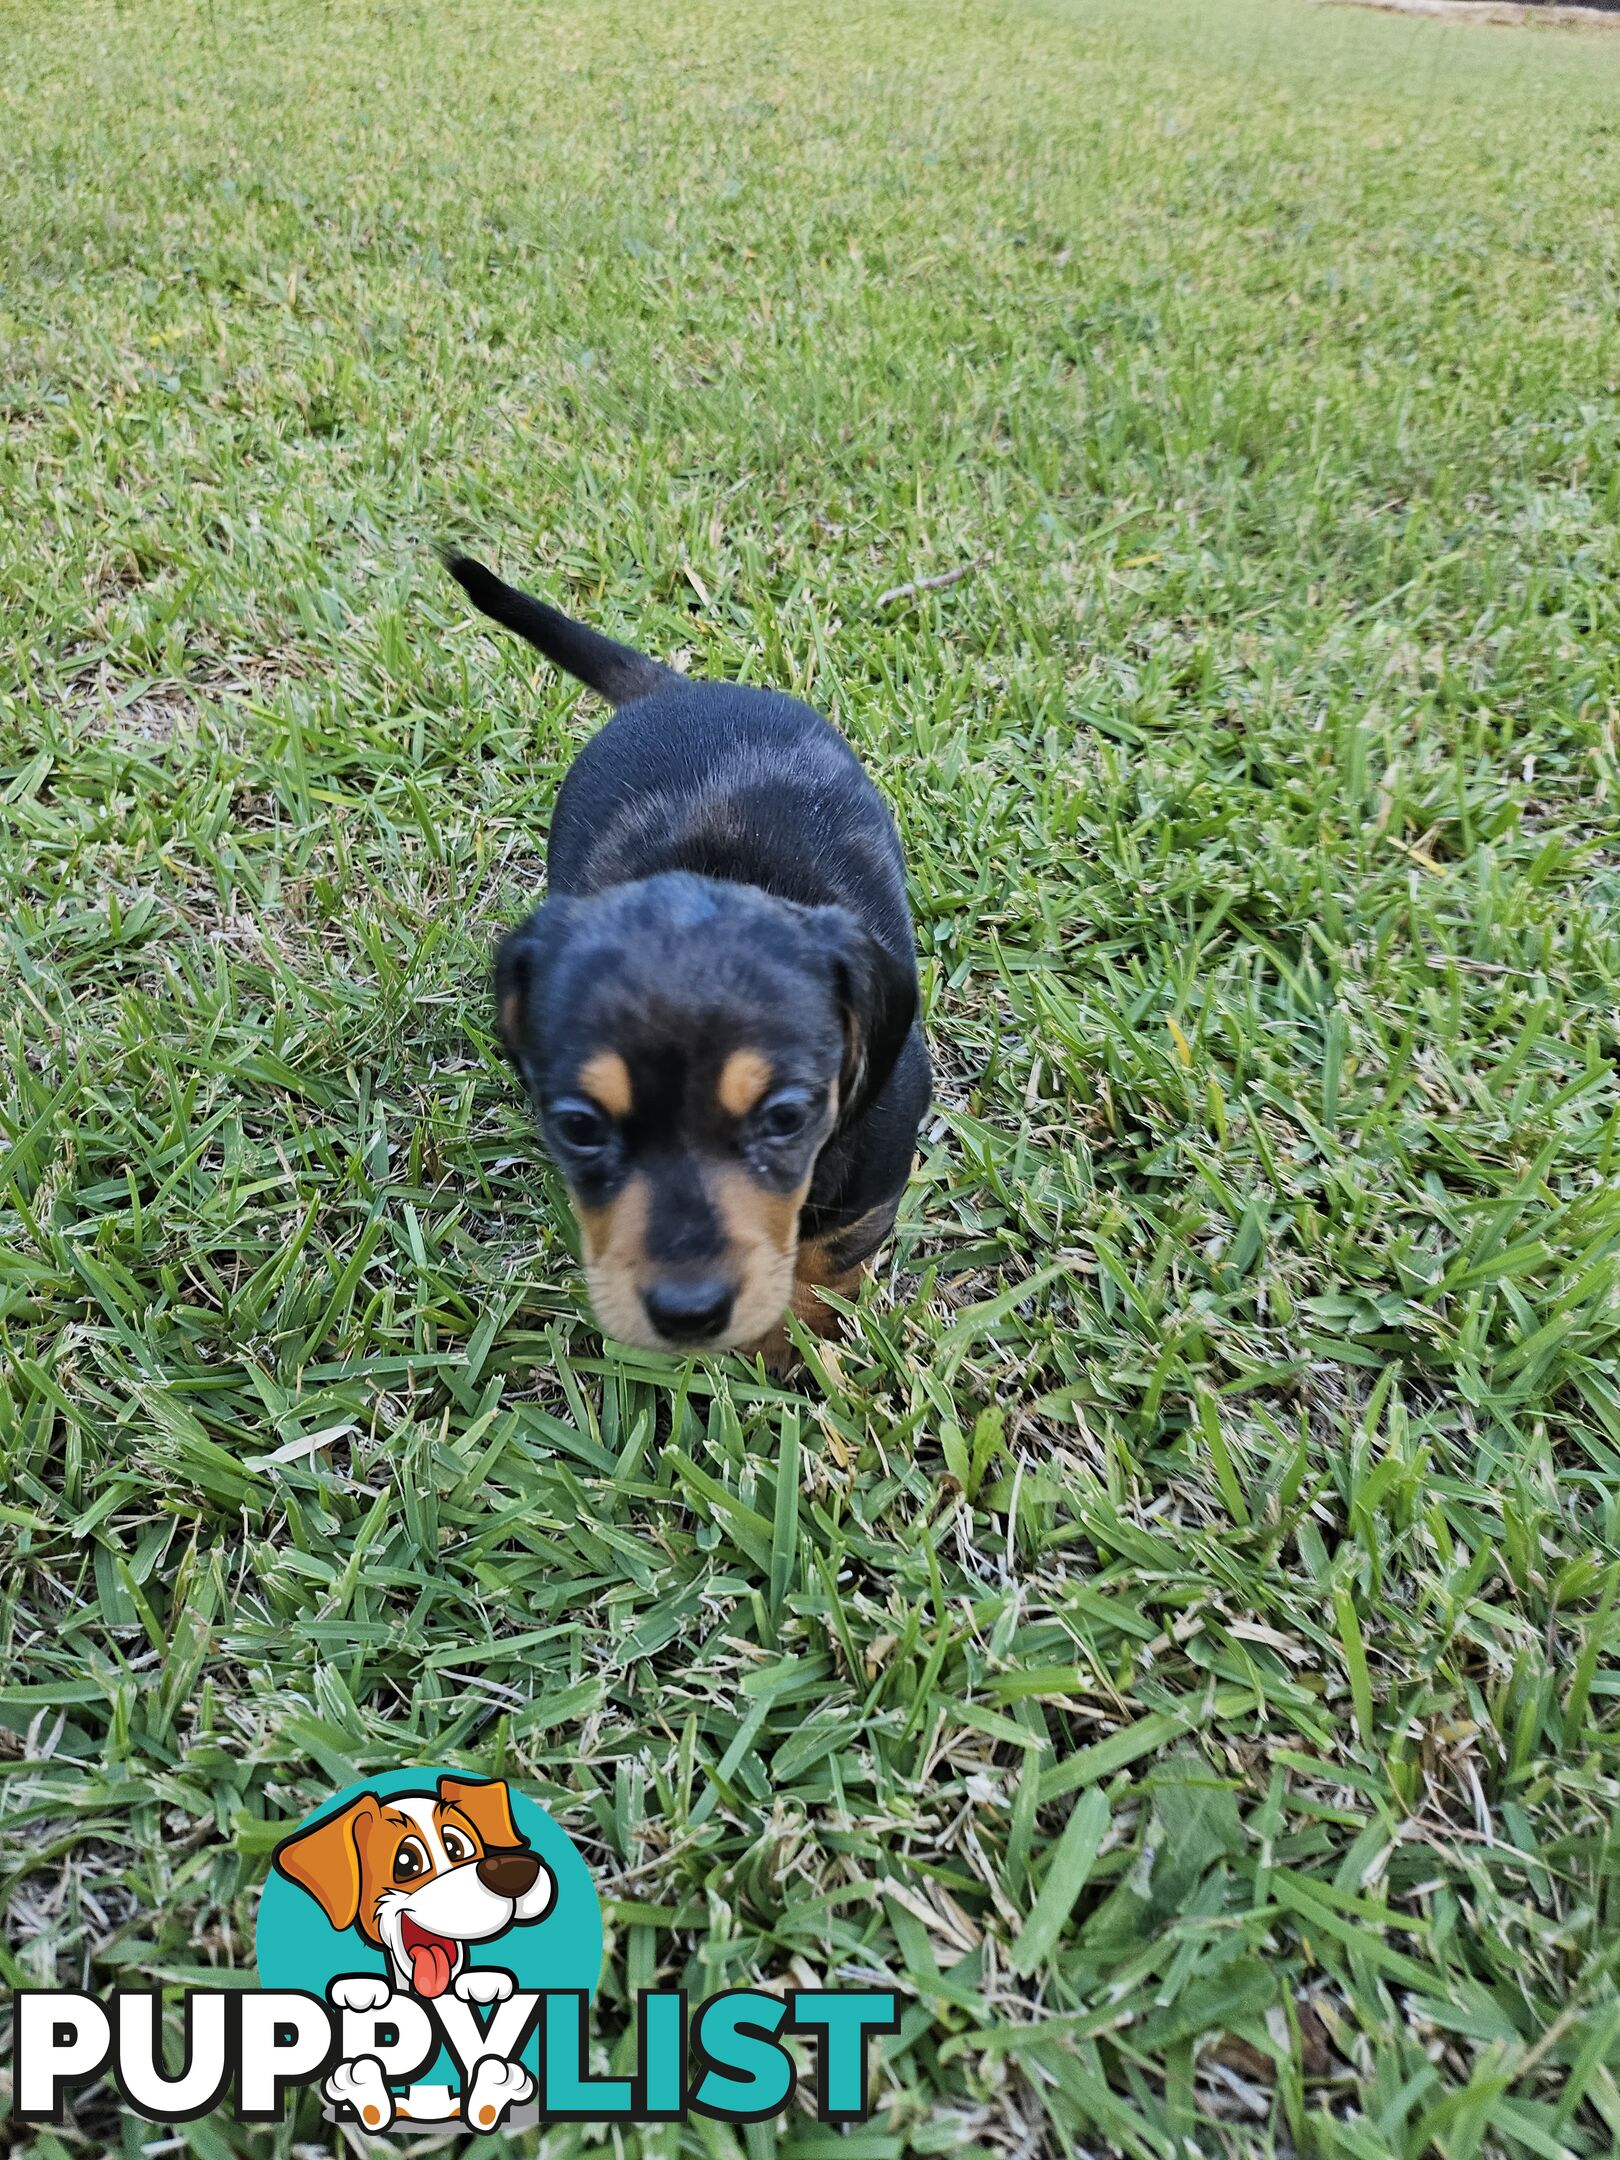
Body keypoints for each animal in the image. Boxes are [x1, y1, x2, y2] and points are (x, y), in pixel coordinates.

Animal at [444, 557, 933, 1365]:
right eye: (578, 1126)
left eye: (786, 1117)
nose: (688, 1312)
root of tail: (673, 689)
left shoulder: (871, 1186)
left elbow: (827, 1258)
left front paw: (797, 1339)